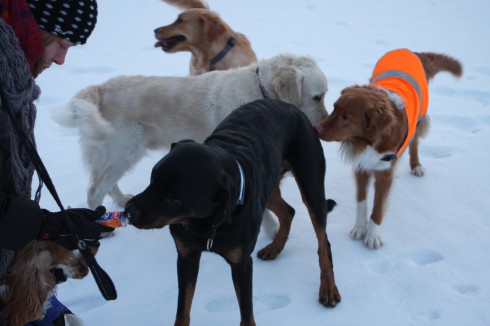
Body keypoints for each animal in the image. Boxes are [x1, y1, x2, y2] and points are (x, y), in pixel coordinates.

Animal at [53, 53, 330, 209]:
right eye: (318, 97)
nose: (322, 127)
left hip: (119, 155)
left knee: (105, 185)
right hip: (123, 152)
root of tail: (99, 88)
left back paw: (121, 202)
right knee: (94, 192)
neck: (259, 91)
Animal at [316, 48, 462, 248]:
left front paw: (373, 236)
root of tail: (412, 51)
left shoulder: (384, 173)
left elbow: (377, 207)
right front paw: (359, 228)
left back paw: (416, 165)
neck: (370, 141)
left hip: (420, 118)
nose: (316, 128)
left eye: (346, 117)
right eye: (334, 108)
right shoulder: (361, 166)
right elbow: (361, 201)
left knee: (414, 142)